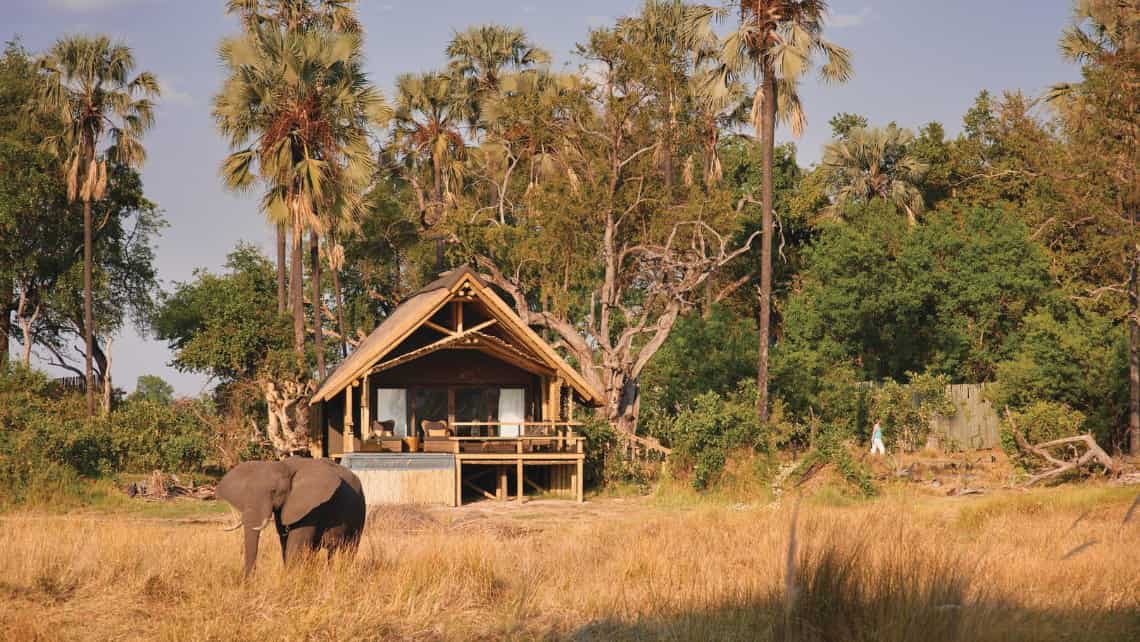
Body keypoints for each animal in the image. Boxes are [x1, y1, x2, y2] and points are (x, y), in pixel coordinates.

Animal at [216, 456, 364, 577]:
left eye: (274, 492)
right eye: (246, 491)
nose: (249, 581)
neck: (284, 466)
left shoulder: (311, 506)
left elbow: (295, 543)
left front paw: (290, 578)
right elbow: (284, 540)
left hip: (360, 509)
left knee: (350, 548)